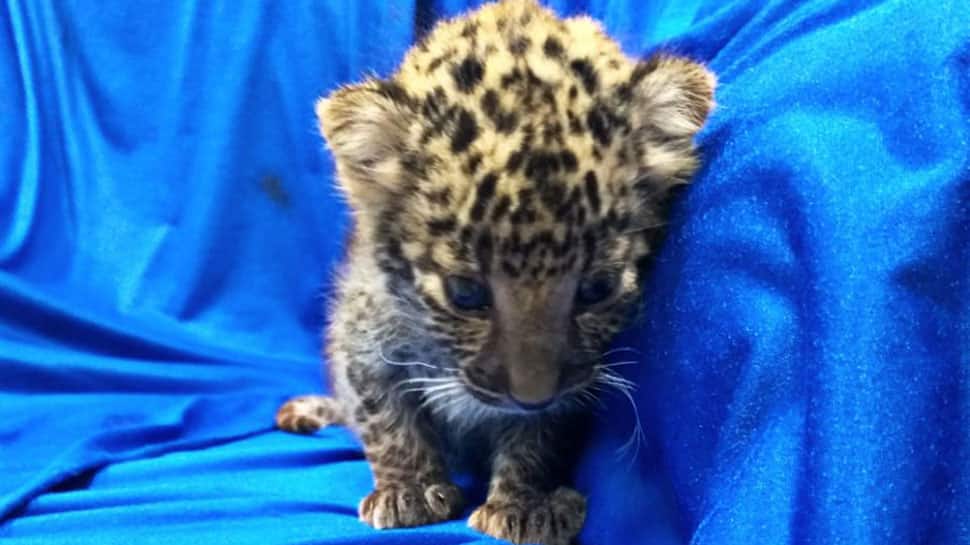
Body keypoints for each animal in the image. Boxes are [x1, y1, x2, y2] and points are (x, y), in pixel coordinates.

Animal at [276, 1, 715, 543]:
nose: (530, 396)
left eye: (598, 288)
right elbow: (383, 414)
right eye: (465, 294)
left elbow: (539, 437)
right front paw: (409, 490)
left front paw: (525, 503)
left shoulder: (569, 396)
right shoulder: (361, 337)